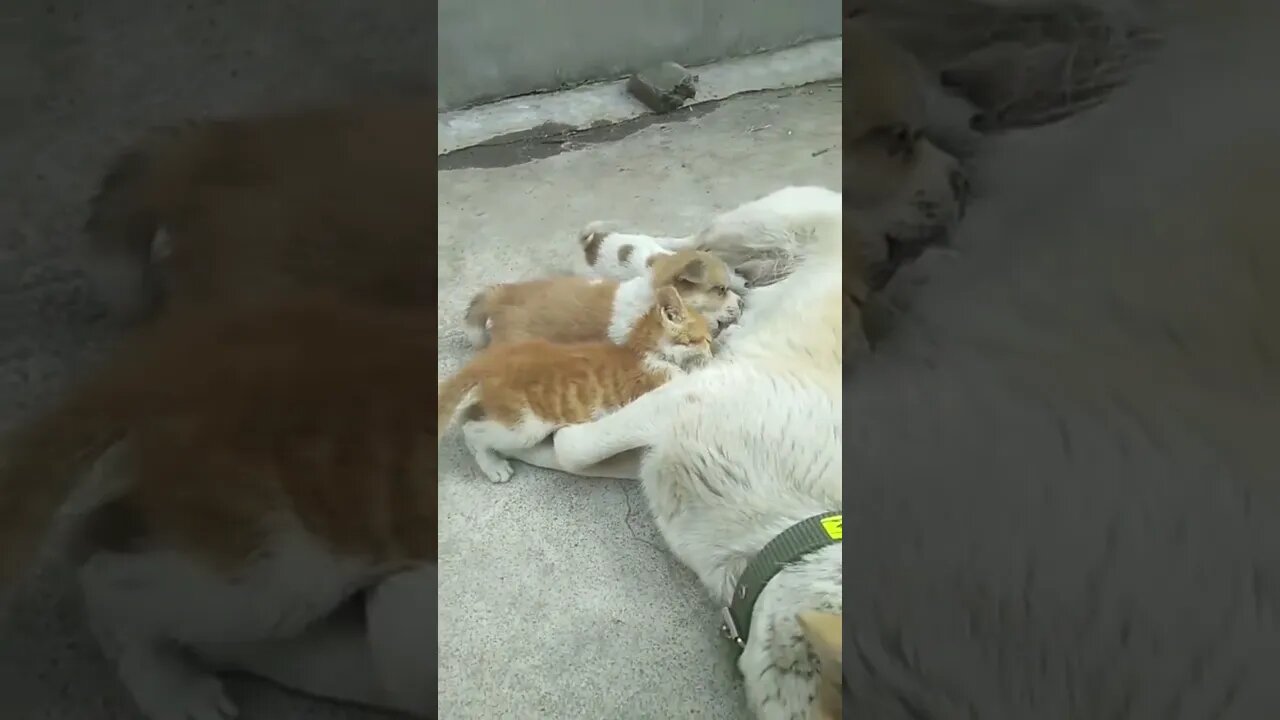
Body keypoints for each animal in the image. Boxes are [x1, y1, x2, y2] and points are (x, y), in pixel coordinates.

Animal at [440, 283, 716, 479]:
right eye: (706, 340)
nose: (712, 353)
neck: (646, 352)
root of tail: (492, 360)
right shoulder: (659, 383)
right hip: (525, 426)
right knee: (472, 430)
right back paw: (493, 466)